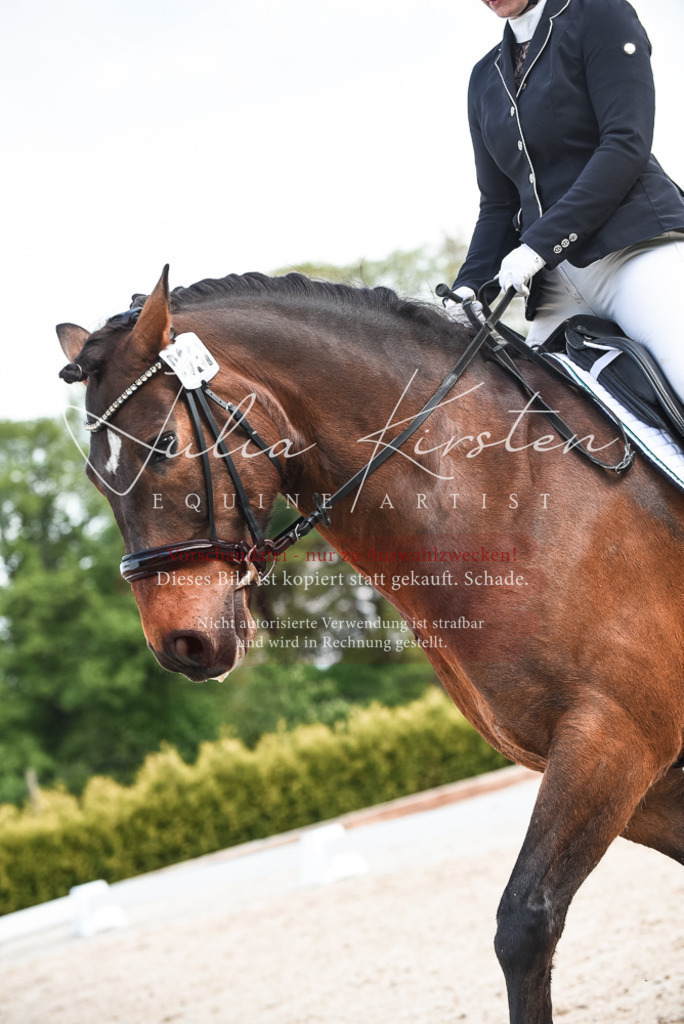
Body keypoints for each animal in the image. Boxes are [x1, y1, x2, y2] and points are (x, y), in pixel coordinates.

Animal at [57, 266, 684, 1024]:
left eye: (165, 446)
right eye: (96, 479)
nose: (180, 644)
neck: (504, 495)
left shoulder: (617, 738)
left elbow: (524, 925)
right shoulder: (637, 774)